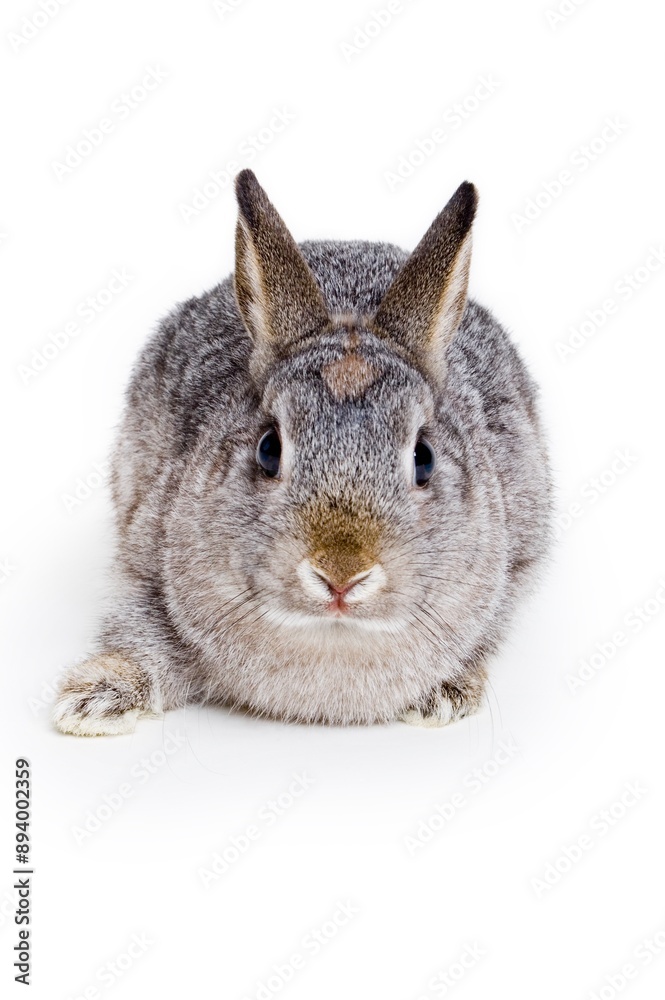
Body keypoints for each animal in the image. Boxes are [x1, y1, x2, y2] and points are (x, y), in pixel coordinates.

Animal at [53, 169, 551, 736]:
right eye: (269, 449)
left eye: (423, 457)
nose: (341, 574)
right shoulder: (144, 569)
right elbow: (141, 642)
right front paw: (91, 699)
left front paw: (445, 697)